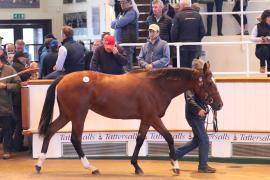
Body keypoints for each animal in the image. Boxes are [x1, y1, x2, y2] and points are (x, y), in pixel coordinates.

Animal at [34, 61, 223, 174]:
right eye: (210, 83)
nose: (219, 105)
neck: (157, 86)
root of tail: (64, 77)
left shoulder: (146, 119)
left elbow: (140, 139)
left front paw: (136, 166)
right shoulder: (153, 117)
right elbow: (169, 137)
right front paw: (175, 166)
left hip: (67, 114)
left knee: (50, 130)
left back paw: (39, 164)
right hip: (79, 115)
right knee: (75, 139)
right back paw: (92, 167)